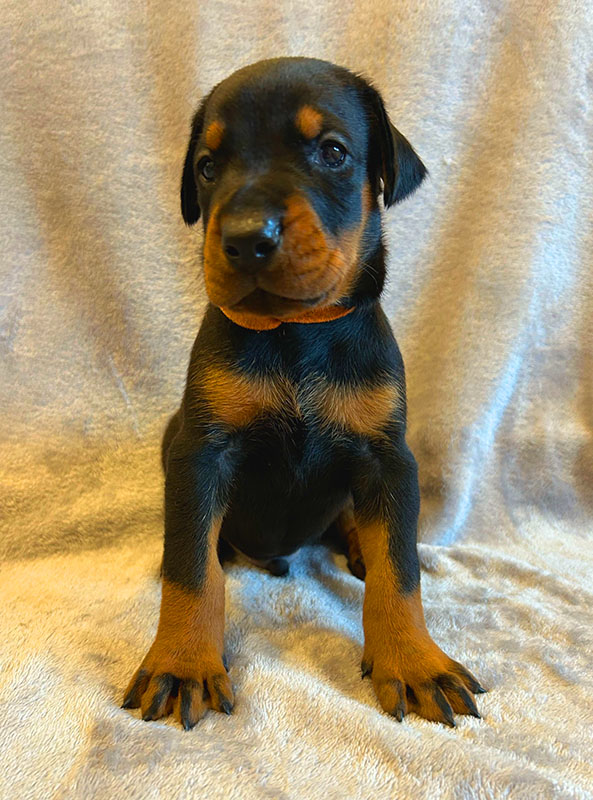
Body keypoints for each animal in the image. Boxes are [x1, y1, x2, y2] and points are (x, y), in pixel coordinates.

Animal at [122, 57, 485, 730]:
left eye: (332, 151)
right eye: (207, 166)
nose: (245, 238)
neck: (296, 334)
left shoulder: (388, 458)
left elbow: (401, 573)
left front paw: (414, 662)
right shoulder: (199, 452)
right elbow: (190, 571)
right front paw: (181, 663)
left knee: (363, 528)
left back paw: (359, 544)